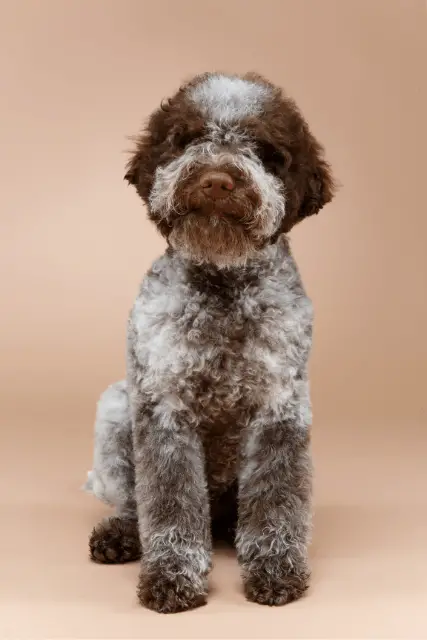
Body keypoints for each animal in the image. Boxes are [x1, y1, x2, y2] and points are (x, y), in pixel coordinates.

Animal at [85, 72, 336, 612]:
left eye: (265, 151)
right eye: (188, 139)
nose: (218, 180)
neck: (222, 287)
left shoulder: (281, 410)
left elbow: (276, 501)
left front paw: (276, 568)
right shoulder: (163, 411)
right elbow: (169, 503)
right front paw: (172, 575)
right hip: (116, 407)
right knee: (135, 500)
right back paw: (122, 534)